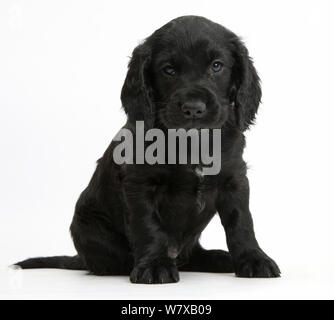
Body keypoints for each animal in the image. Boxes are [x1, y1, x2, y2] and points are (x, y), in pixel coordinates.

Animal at [17, 16, 280, 284]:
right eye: (169, 69)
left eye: (217, 66)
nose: (194, 108)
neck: (191, 142)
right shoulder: (139, 183)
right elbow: (147, 225)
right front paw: (154, 265)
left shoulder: (234, 178)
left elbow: (241, 222)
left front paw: (253, 259)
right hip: (87, 225)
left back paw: (219, 258)